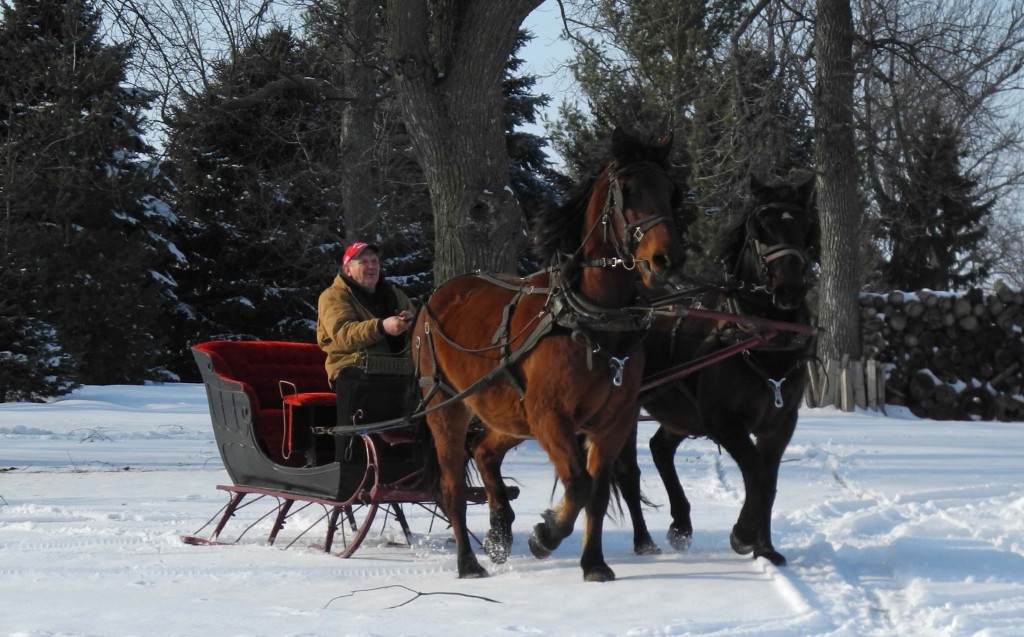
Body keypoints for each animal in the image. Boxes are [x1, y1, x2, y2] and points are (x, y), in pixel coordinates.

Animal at [409, 127, 688, 581]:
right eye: (627, 191)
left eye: (671, 192)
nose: (667, 259)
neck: (590, 318)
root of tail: (434, 300)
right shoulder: (551, 416)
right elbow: (578, 484)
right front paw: (546, 534)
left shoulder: (612, 421)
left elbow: (596, 491)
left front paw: (594, 564)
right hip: (447, 408)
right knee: (452, 488)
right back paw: (468, 562)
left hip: (510, 413)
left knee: (484, 451)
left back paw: (500, 530)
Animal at [610, 172, 819, 565]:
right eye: (760, 227)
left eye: (804, 226)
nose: (789, 289)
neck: (760, 334)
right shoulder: (722, 420)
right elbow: (755, 472)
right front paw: (743, 535)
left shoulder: (781, 422)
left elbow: (769, 481)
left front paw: (766, 548)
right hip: (627, 409)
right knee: (629, 471)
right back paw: (644, 542)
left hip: (681, 411)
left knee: (660, 448)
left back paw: (681, 525)